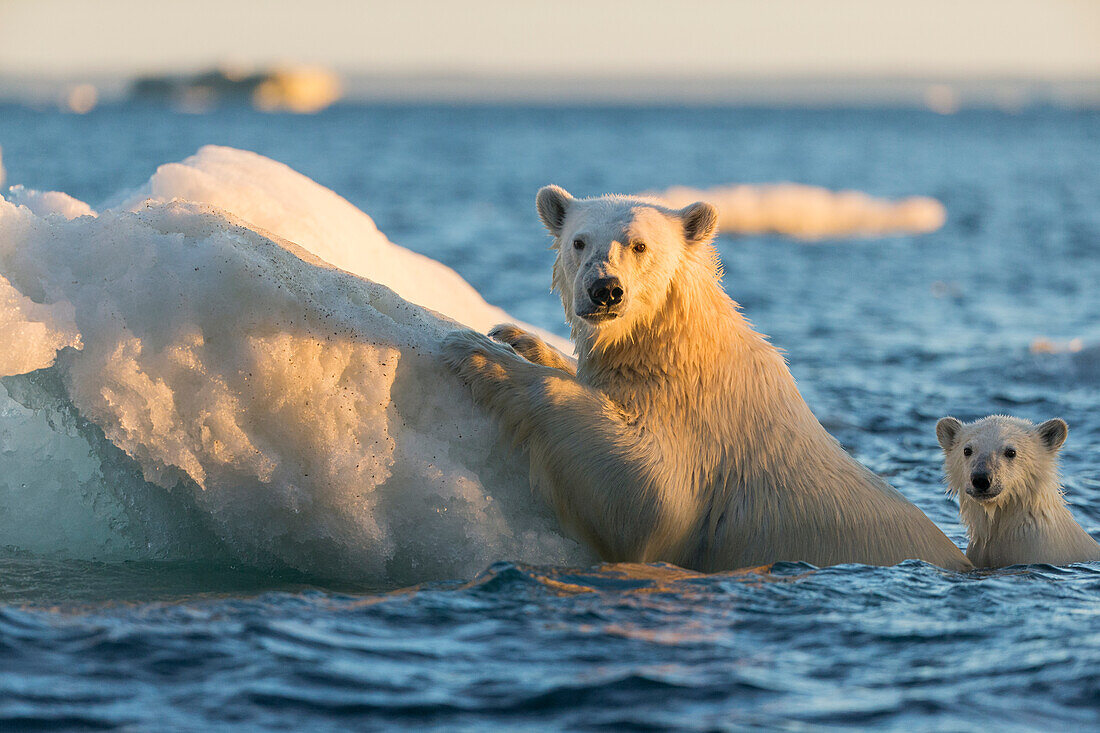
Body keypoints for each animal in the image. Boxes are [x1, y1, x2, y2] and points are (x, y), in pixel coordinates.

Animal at [437, 183, 972, 572]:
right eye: (578, 242)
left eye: (639, 245)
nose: (605, 289)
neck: (680, 349)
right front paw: (514, 336)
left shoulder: (701, 431)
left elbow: (649, 496)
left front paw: (476, 352)